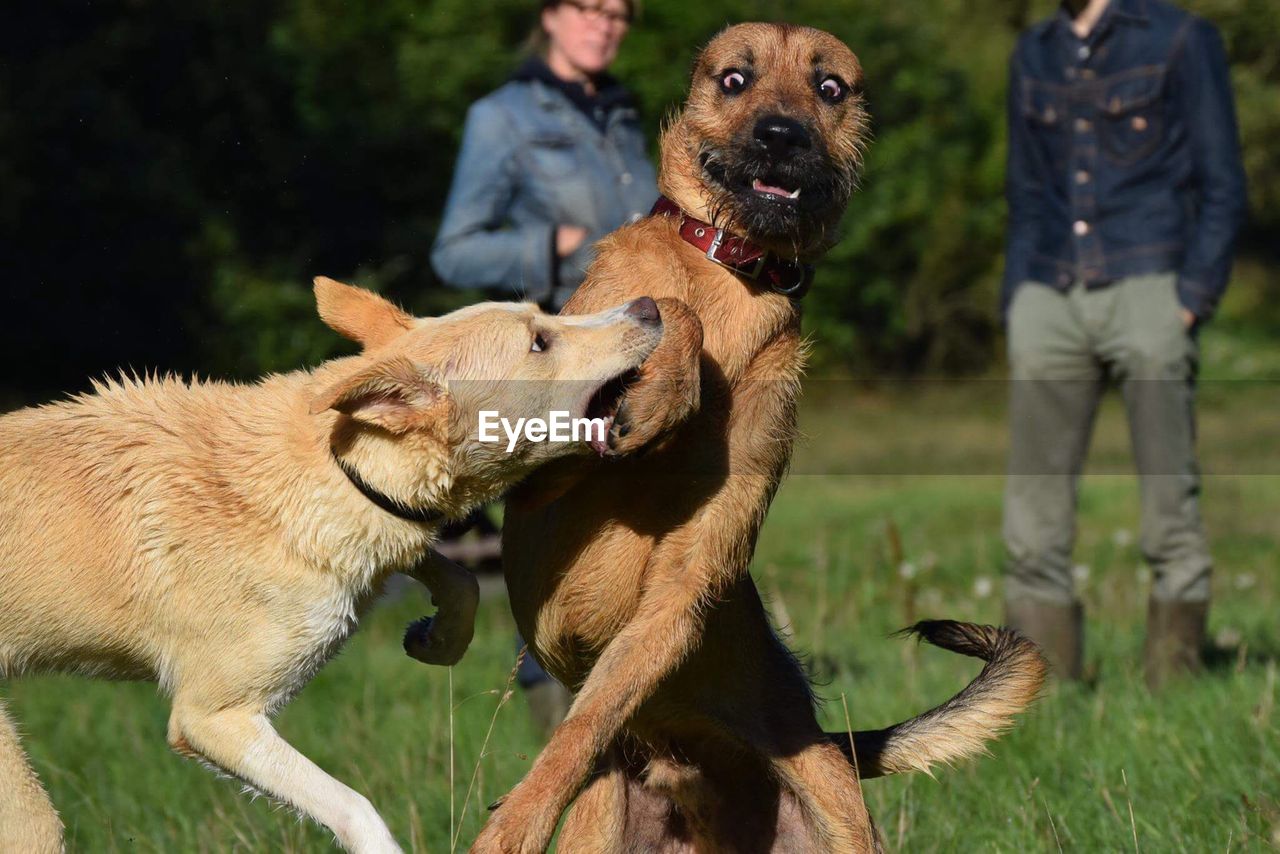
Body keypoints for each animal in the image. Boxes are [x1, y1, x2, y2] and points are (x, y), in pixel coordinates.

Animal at [0, 277, 675, 850]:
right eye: (540, 341)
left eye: (546, 317)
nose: (649, 306)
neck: (335, 463)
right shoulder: (214, 719)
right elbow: (357, 809)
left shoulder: (389, 535)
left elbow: (456, 576)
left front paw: (436, 640)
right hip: (31, 814)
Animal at [476, 21, 1044, 854]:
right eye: (735, 80)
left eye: (830, 88)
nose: (781, 135)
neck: (732, 276)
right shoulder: (529, 470)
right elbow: (671, 310)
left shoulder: (686, 582)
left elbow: (591, 711)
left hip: (834, 807)